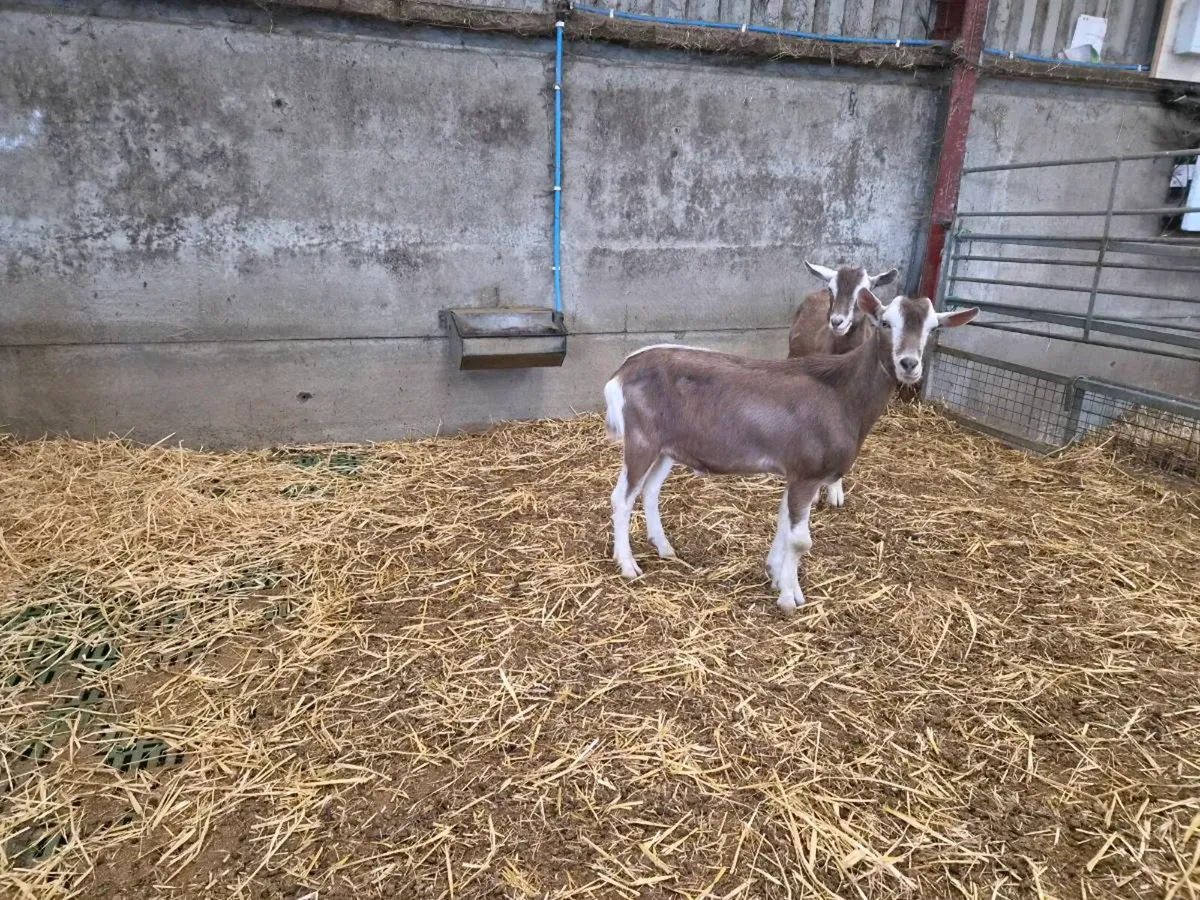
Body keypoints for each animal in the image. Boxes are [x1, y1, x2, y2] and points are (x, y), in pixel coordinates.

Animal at [604, 292, 978, 612]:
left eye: (933, 328)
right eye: (886, 323)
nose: (909, 364)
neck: (842, 394)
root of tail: (621, 373)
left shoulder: (795, 471)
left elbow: (784, 524)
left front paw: (777, 576)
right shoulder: (807, 473)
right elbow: (800, 541)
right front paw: (789, 599)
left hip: (666, 447)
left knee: (650, 492)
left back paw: (664, 548)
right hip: (642, 439)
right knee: (622, 497)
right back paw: (628, 565)